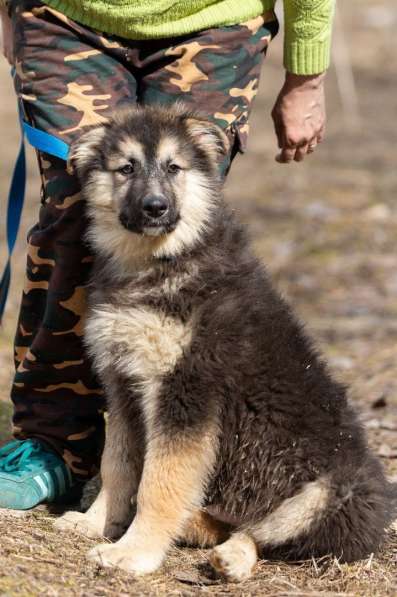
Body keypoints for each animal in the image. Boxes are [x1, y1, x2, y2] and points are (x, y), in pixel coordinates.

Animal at [54, 105, 394, 580]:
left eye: (174, 168)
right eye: (126, 168)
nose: (155, 208)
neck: (163, 260)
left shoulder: (187, 394)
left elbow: (158, 483)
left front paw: (133, 553)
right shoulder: (123, 387)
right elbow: (117, 466)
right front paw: (95, 524)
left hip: (333, 493)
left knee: (263, 533)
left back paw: (229, 556)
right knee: (230, 523)